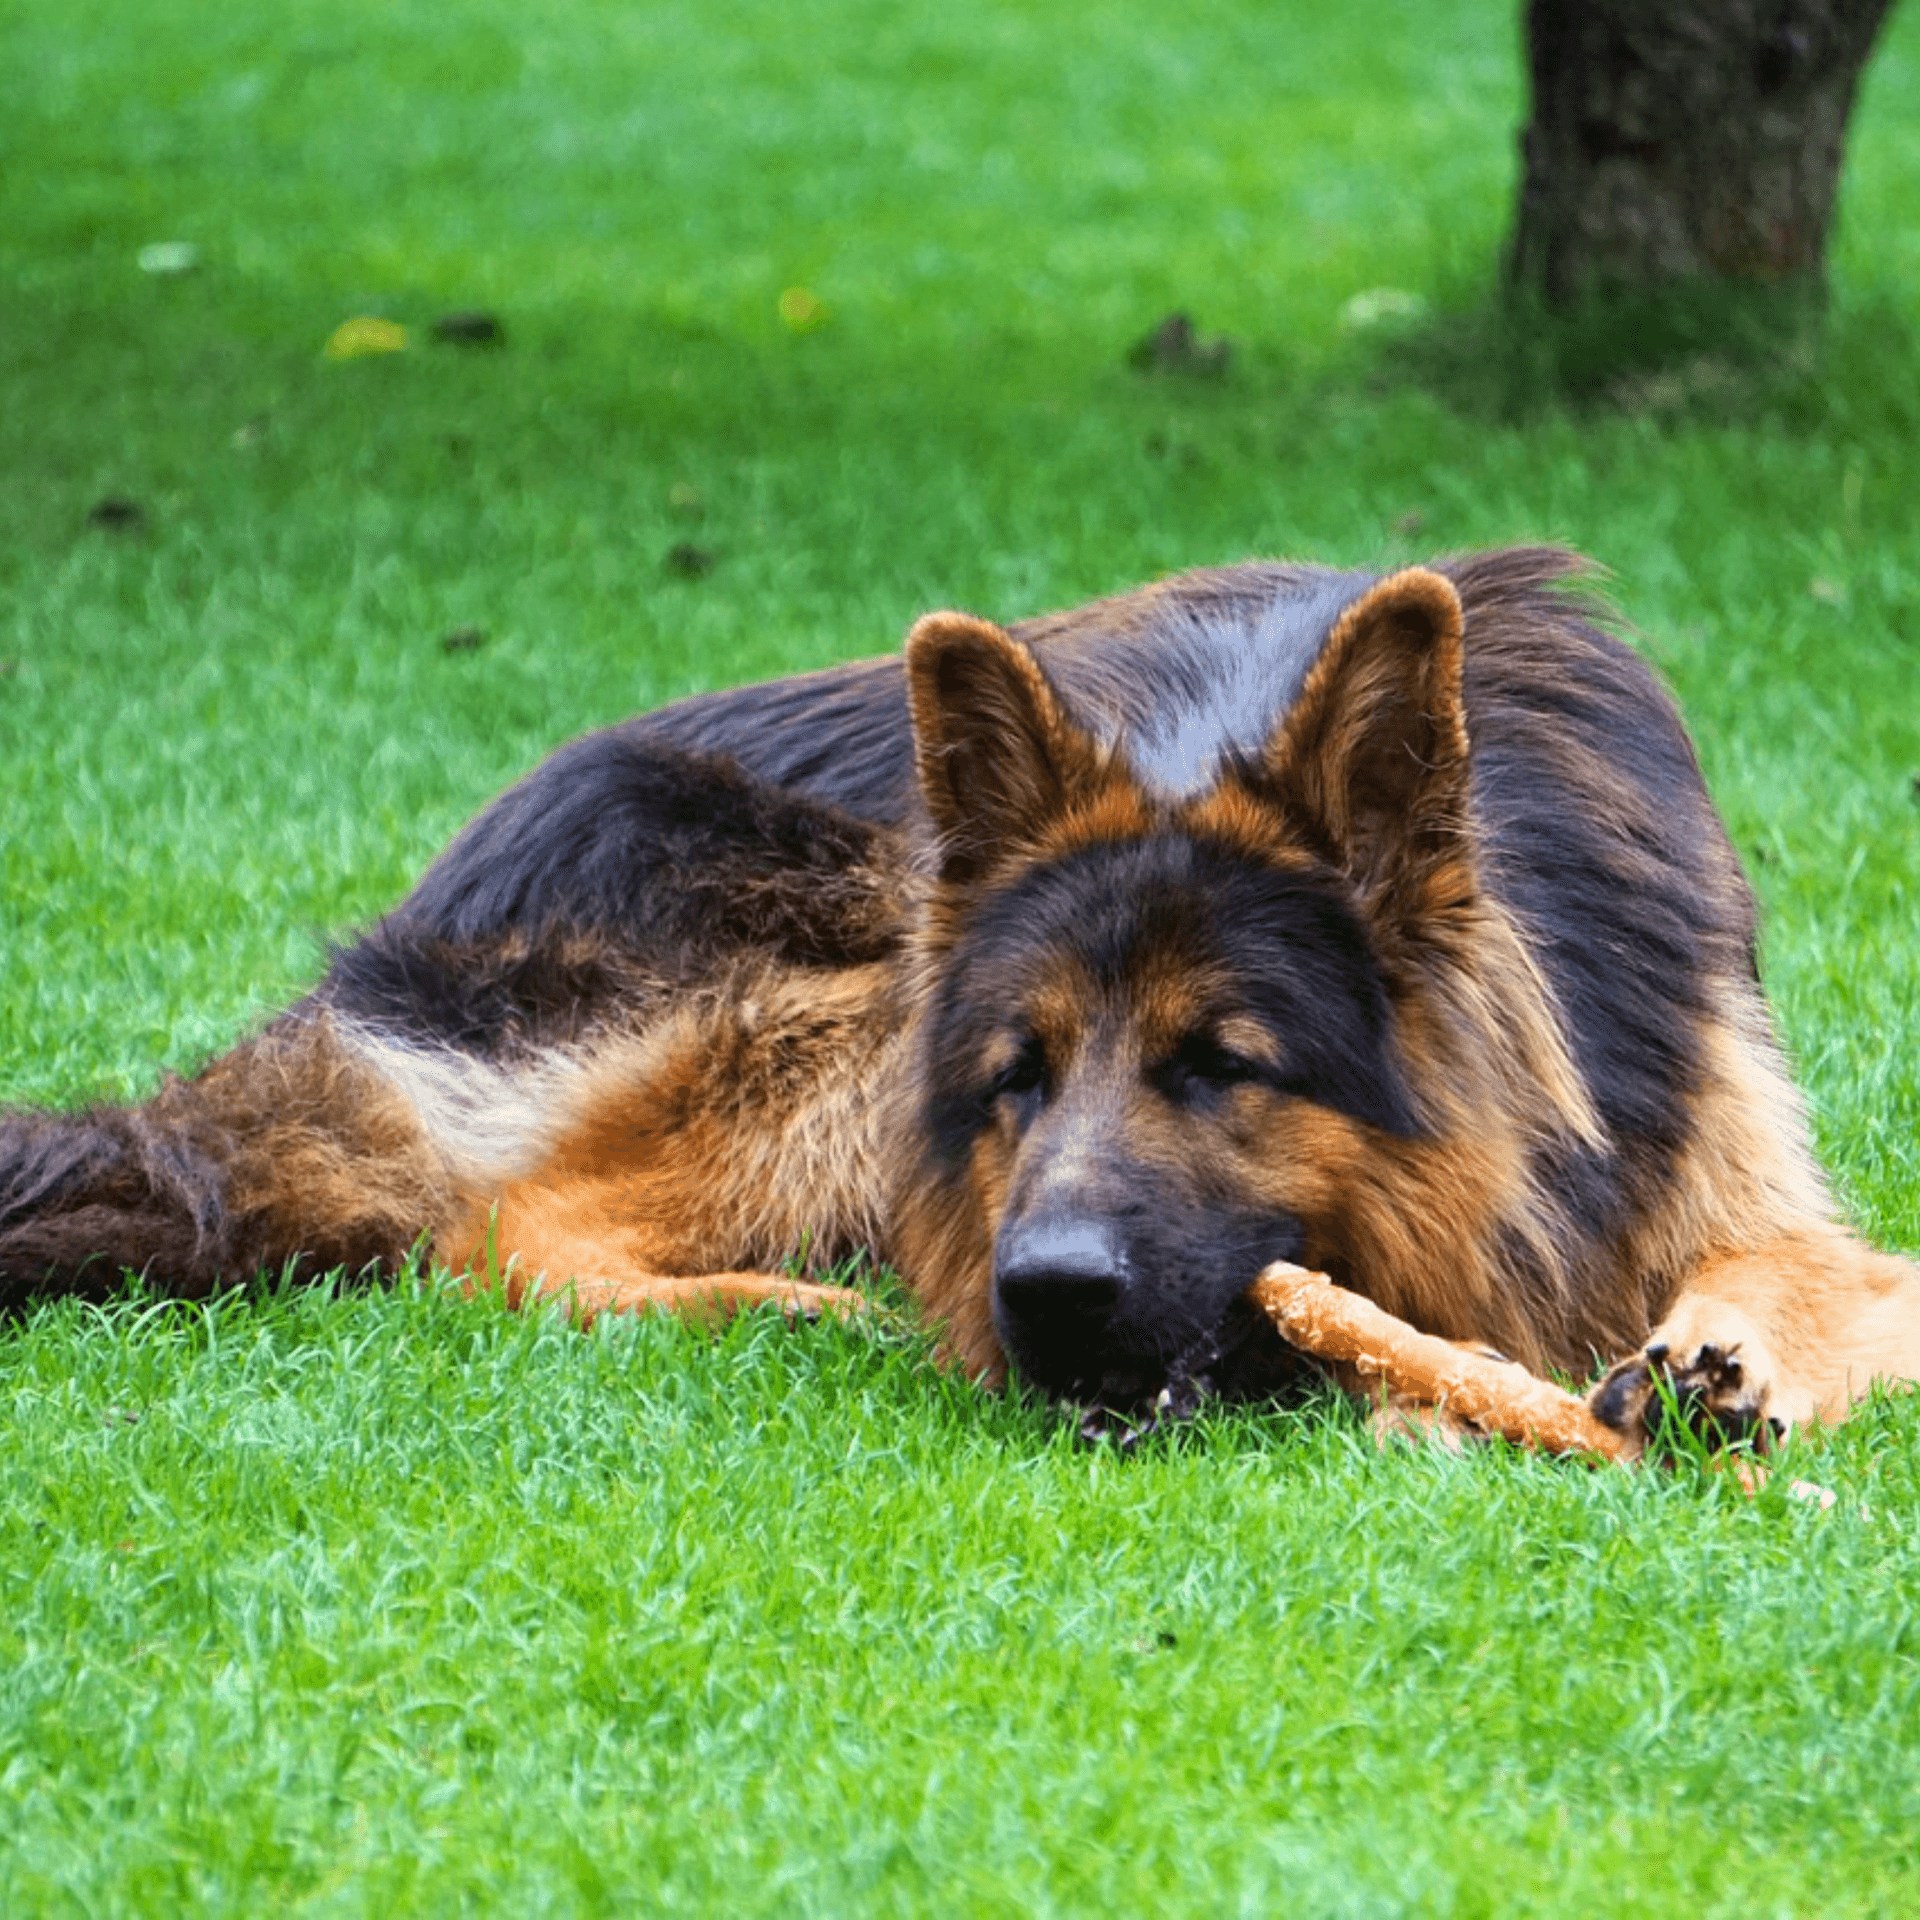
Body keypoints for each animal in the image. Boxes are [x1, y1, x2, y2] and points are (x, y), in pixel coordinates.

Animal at [3, 549, 1920, 1443]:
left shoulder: (1722, 1135)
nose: (1045, 1298)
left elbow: (1817, 1271)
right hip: (844, 951)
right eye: (1019, 1074)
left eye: (1225, 1064)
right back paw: (796, 1303)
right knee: (494, 1229)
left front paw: (1724, 1354)